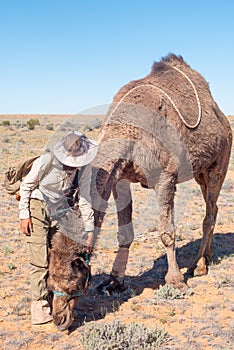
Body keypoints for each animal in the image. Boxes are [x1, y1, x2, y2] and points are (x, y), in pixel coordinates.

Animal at [92, 52, 233, 292]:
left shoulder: (165, 178)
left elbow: (167, 231)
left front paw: (175, 279)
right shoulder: (120, 178)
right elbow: (125, 231)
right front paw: (114, 280)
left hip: (220, 162)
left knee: (210, 213)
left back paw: (198, 265)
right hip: (200, 173)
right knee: (213, 207)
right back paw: (209, 257)